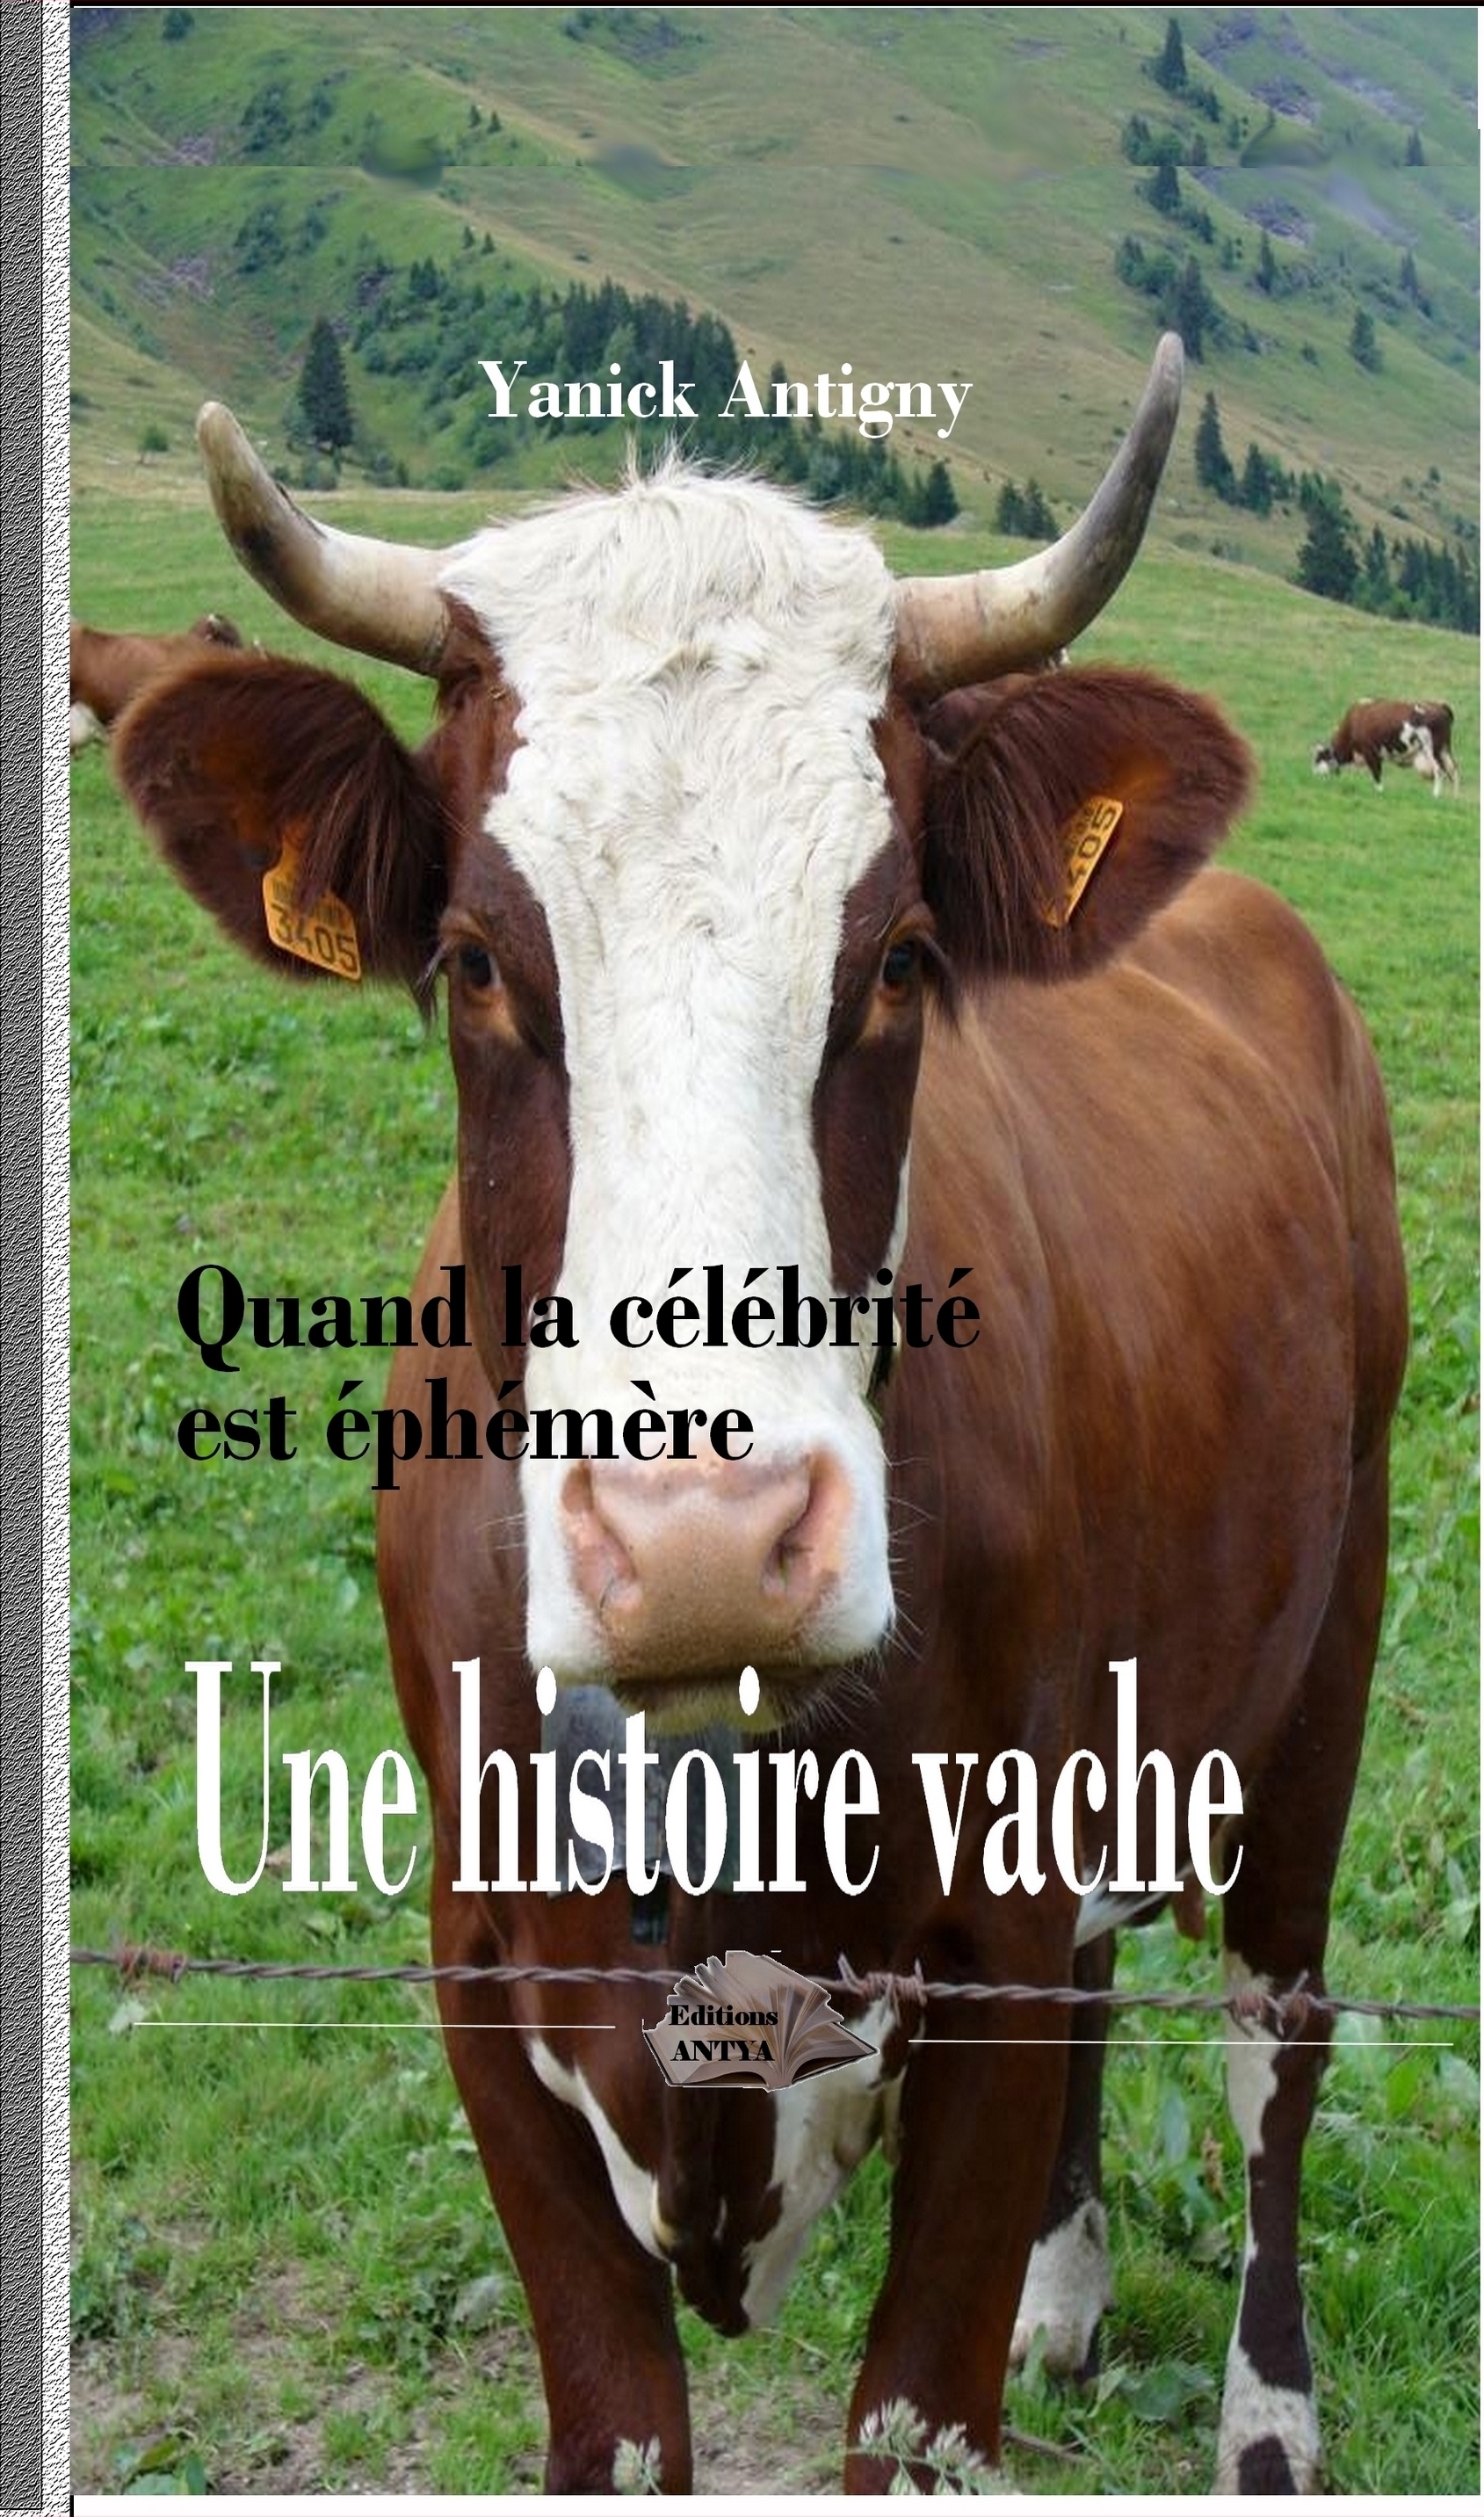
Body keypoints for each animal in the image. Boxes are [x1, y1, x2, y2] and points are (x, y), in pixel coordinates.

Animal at [113, 336, 1407, 2496]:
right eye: (471, 958)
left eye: (898, 959)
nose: (704, 1544)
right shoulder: (487, 1991)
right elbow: (617, 2425)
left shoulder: (975, 1961)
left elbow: (915, 2410)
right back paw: (1070, 2295)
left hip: (1333, 1642)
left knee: (1267, 2037)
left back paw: (1264, 2417)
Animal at [1312, 697, 1460, 798]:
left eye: (1318, 759)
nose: (1312, 775)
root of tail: (1439, 705)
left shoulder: (1371, 753)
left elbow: (1377, 774)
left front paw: (1379, 792)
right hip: (1445, 749)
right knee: (1453, 769)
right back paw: (1455, 798)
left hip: (1431, 749)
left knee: (1439, 770)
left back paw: (1435, 796)